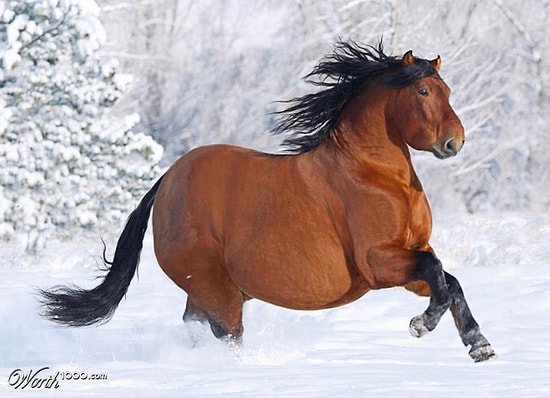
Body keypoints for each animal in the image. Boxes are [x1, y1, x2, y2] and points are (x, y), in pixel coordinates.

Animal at [38, 40, 496, 360]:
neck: (373, 174)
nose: (455, 141)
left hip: (208, 291)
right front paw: (422, 324)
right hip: (218, 291)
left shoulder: (409, 257)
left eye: (447, 89)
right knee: (228, 336)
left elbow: (448, 281)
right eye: (422, 91)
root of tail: (167, 180)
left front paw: (479, 344)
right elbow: (437, 273)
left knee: (196, 327)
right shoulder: (379, 262)